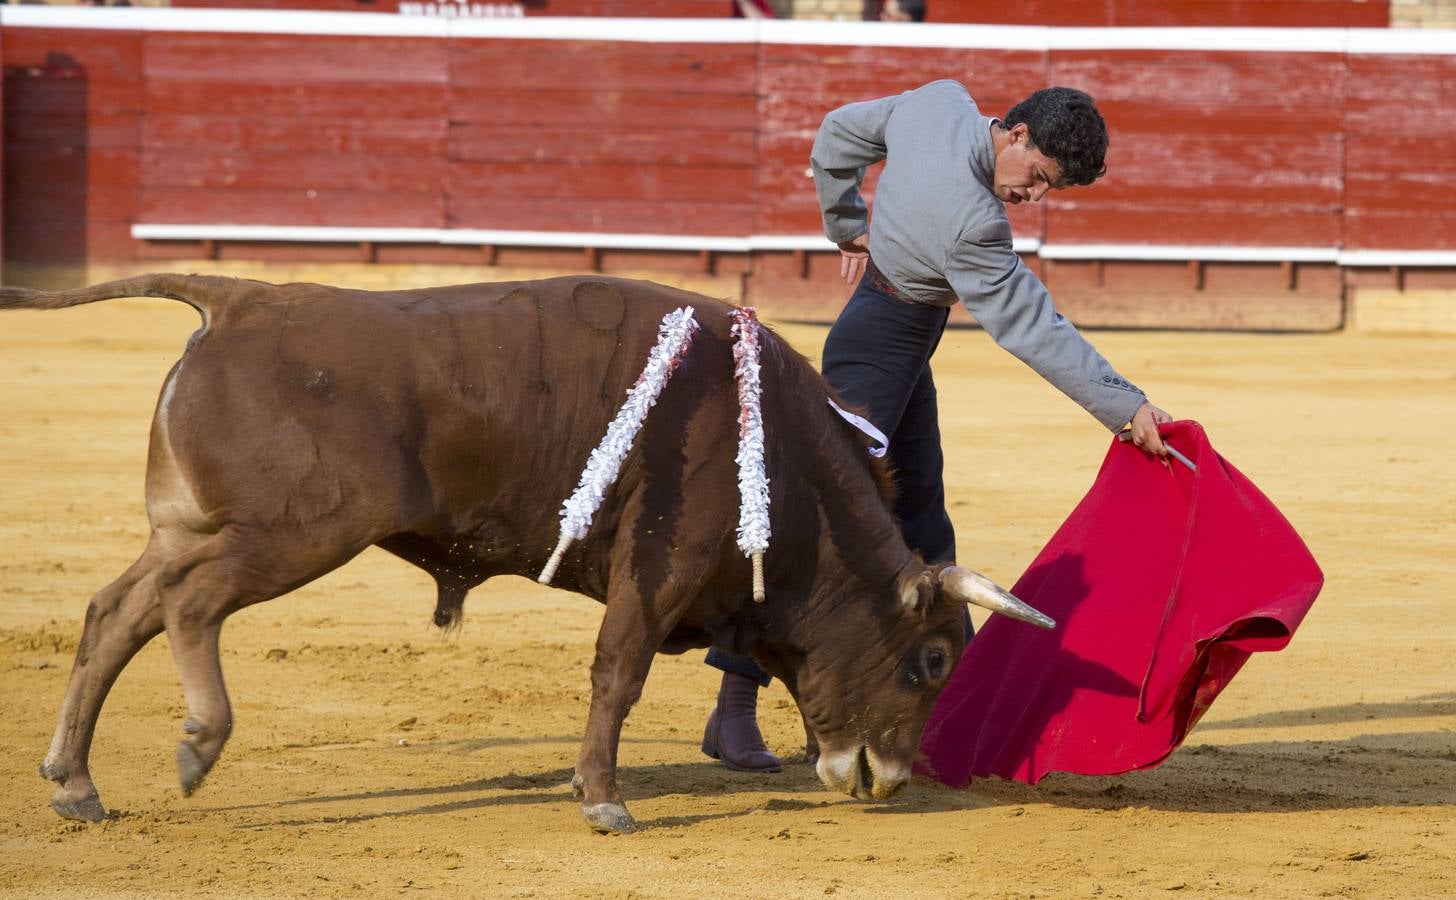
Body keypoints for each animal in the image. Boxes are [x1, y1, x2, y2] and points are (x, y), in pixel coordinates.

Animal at [0, 269, 1048, 833]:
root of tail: (241, 298)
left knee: (117, 610)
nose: (891, 778)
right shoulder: (660, 565)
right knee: (188, 606)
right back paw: (197, 746)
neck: (782, 461)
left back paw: (76, 785)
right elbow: (619, 672)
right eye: (934, 660)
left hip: (188, 527)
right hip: (295, 532)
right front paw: (604, 801)